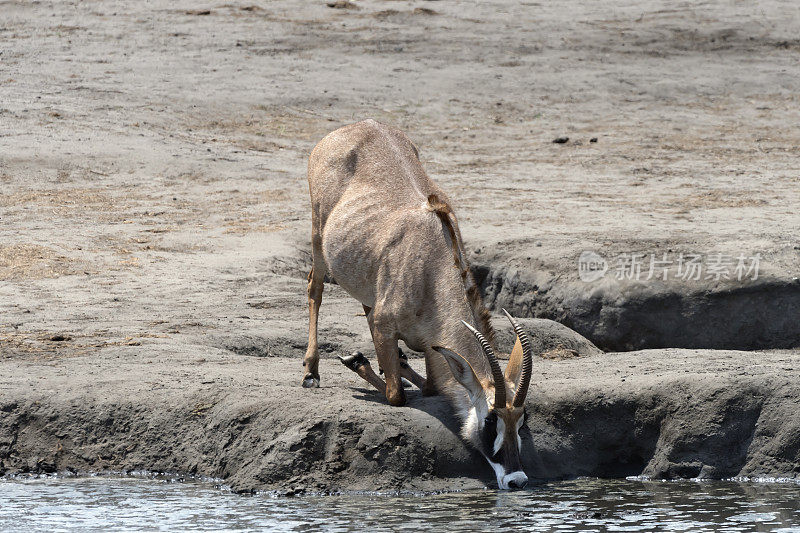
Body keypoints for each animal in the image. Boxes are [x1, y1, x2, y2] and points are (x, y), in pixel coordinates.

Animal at [304, 119, 536, 486]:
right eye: (490, 420)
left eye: (522, 419)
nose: (517, 480)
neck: (432, 266)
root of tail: (359, 125)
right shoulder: (386, 326)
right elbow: (396, 395)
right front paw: (359, 363)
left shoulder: (429, 345)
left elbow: (430, 386)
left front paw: (391, 365)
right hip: (317, 235)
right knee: (315, 287)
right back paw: (312, 371)